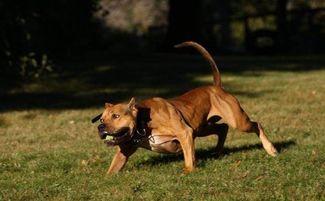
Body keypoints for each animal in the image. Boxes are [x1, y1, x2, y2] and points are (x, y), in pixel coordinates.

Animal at [91, 40, 276, 174]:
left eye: (116, 116)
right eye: (101, 119)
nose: (101, 127)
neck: (143, 122)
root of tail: (216, 87)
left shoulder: (185, 133)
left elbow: (189, 159)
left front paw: (189, 171)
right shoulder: (124, 152)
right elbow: (111, 170)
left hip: (237, 122)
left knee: (256, 124)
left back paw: (271, 149)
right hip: (202, 127)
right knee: (222, 128)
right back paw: (217, 152)